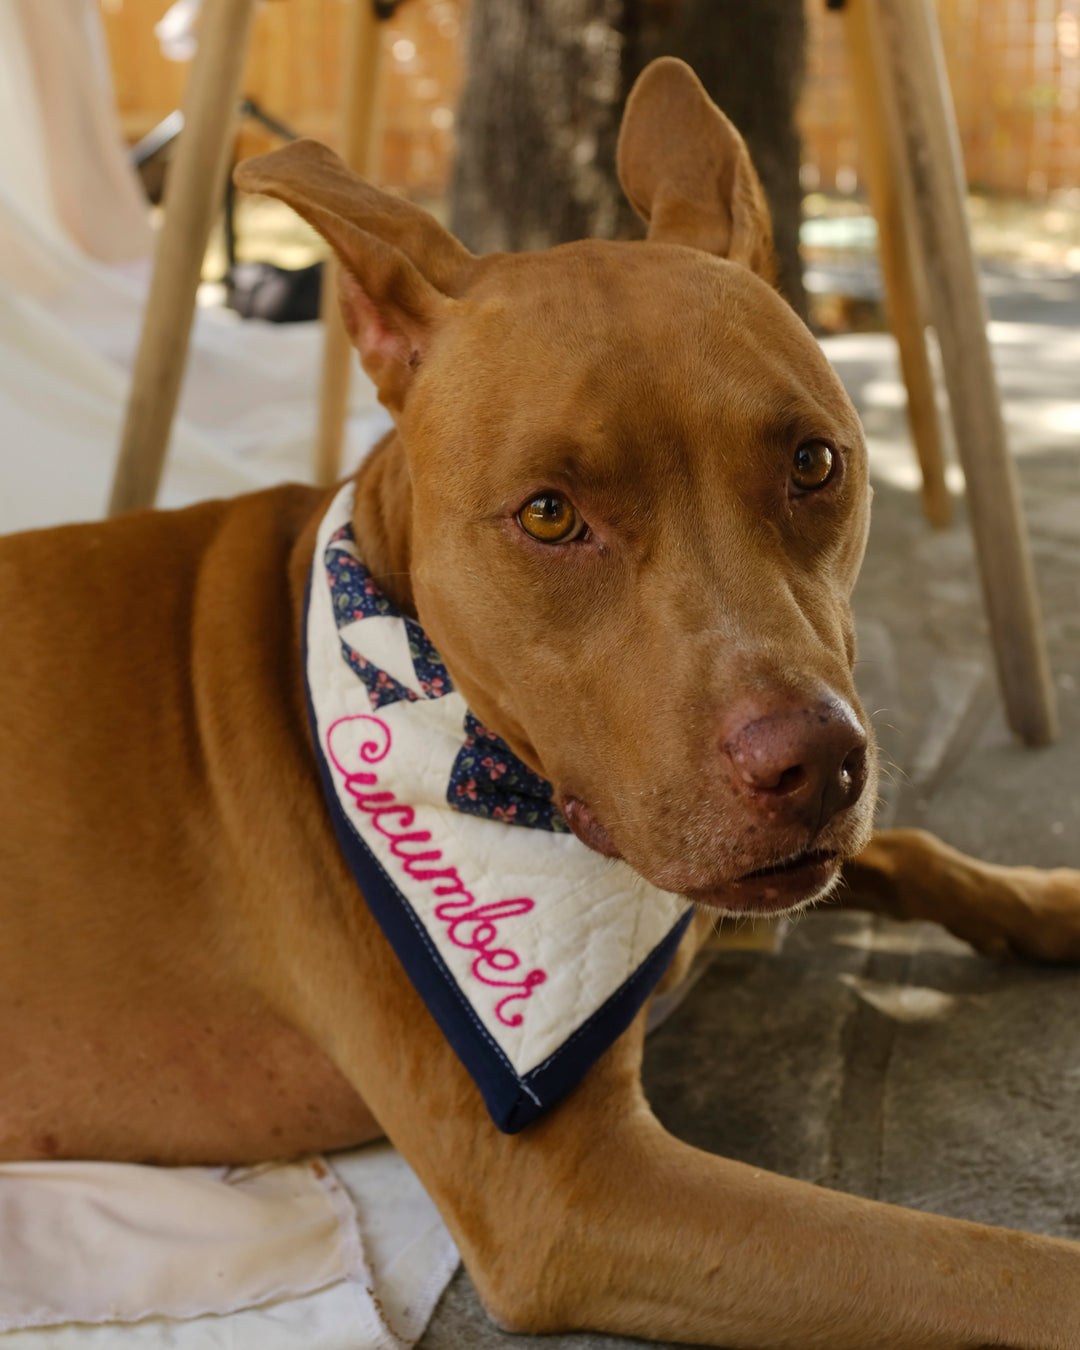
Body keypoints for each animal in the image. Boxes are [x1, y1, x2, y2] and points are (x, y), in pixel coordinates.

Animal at [2, 58, 1080, 1344]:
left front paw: (1050, 901)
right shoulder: (576, 1193)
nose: (817, 764)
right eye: (552, 515)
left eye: (816, 464)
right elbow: (987, 1263)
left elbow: (911, 846)